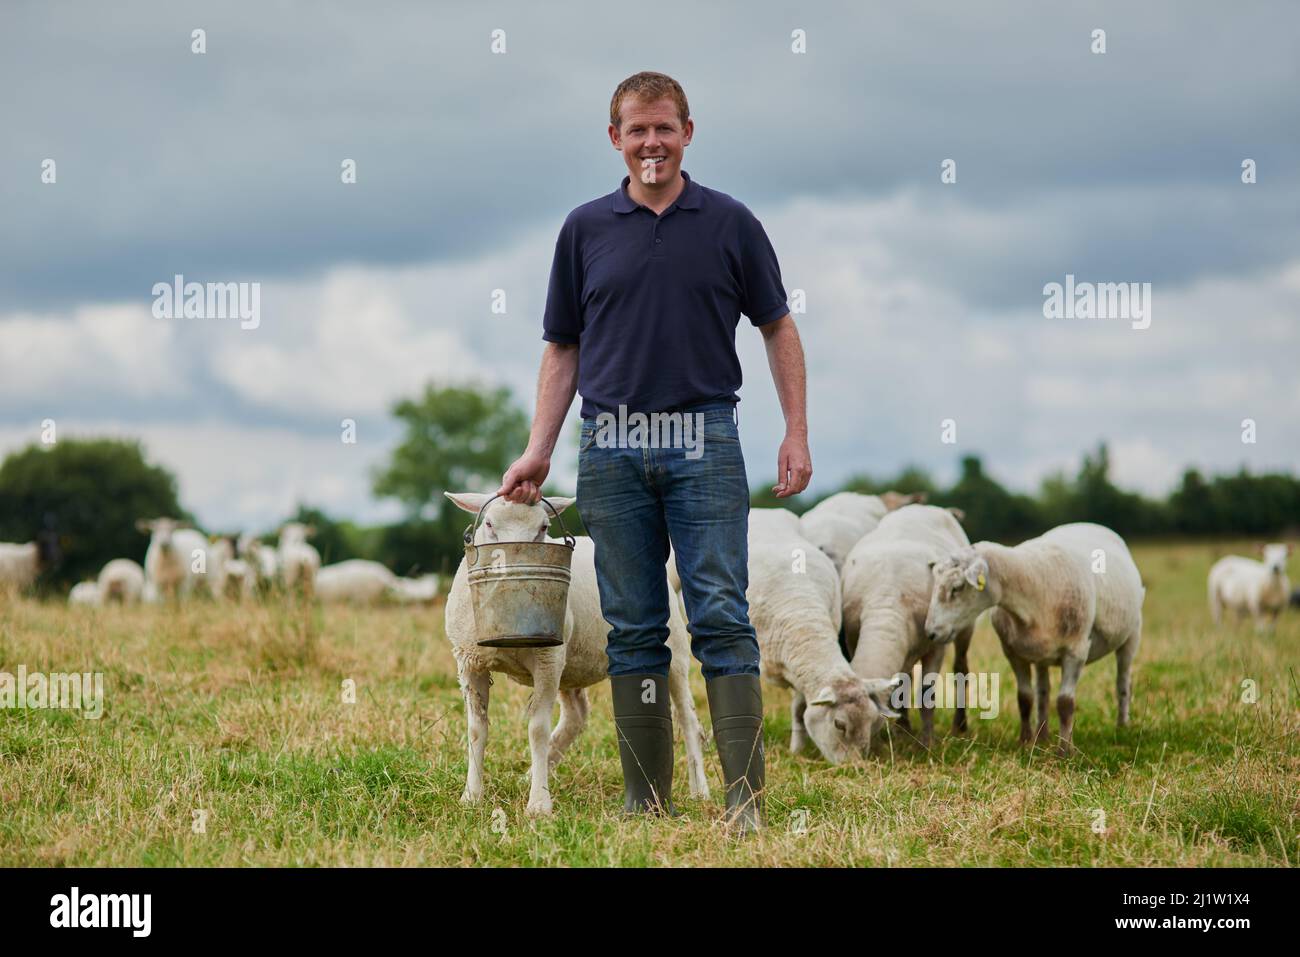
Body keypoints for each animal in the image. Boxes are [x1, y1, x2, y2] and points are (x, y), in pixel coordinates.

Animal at [439, 494, 707, 816]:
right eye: (489, 524)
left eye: (544, 527)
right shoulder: (470, 662)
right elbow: (476, 730)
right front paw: (471, 797)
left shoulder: (547, 659)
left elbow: (537, 730)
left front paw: (539, 805)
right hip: (571, 665)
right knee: (576, 717)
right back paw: (533, 772)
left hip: (674, 653)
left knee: (689, 721)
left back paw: (700, 791)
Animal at [842, 504, 977, 743]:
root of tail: (925, 506)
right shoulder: (852, 639)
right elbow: (900, 690)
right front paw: (901, 732)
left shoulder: (936, 645)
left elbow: (926, 696)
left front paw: (927, 743)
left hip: (963, 627)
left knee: (961, 669)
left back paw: (959, 726)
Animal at [920, 522, 1144, 754]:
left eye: (957, 588)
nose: (931, 632)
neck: (1033, 588)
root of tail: (1089, 524)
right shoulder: (1013, 653)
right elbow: (1025, 698)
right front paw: (1025, 741)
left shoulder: (1077, 650)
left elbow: (1065, 703)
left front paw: (1065, 751)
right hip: (1040, 652)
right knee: (1043, 691)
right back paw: (1041, 735)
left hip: (1132, 633)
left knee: (1123, 681)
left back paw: (1122, 727)